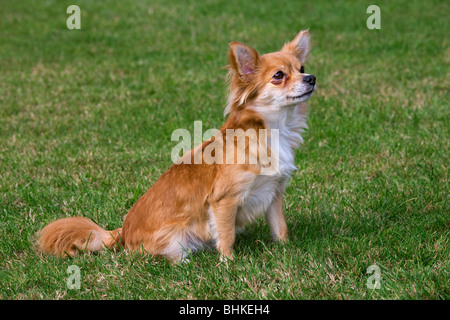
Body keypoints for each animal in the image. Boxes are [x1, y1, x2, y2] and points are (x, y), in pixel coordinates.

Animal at [38, 29, 316, 262]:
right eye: (278, 76)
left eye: (302, 68)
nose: (311, 78)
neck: (272, 129)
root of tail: (122, 232)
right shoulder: (223, 200)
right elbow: (226, 236)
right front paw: (229, 263)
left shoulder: (274, 192)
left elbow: (280, 227)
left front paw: (286, 249)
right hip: (174, 238)